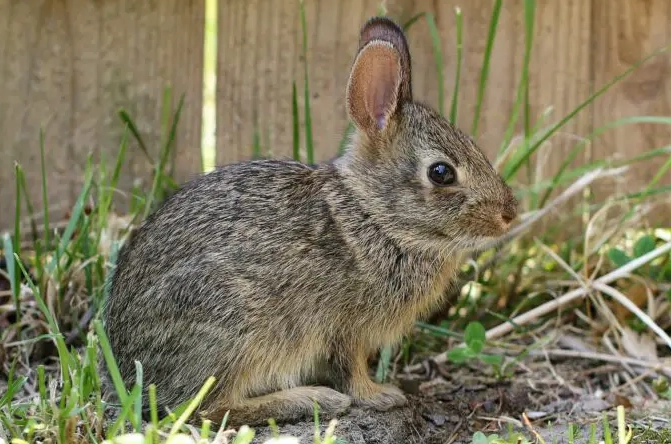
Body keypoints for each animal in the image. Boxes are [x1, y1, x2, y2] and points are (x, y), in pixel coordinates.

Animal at [99, 16, 518, 428]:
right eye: (441, 173)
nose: (508, 215)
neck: (373, 217)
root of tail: (129, 366)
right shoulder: (345, 329)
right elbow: (350, 371)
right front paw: (381, 395)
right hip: (232, 324)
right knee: (209, 408)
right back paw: (312, 400)